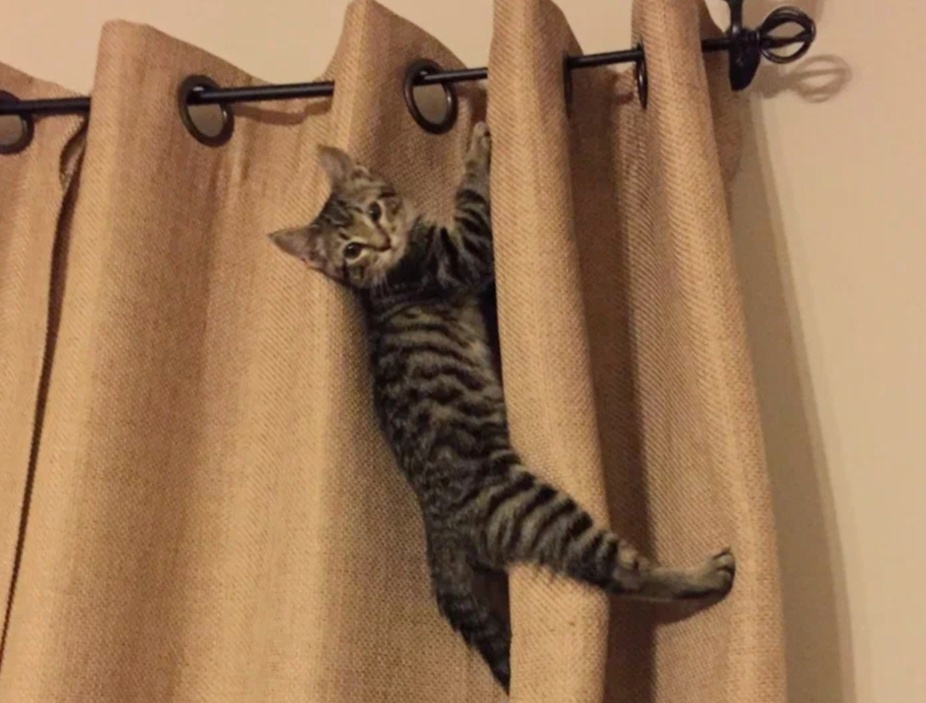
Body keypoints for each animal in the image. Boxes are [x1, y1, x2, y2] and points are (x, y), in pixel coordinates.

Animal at [269, 122, 735, 693]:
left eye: (374, 211)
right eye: (352, 250)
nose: (382, 241)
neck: (392, 270)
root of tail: (438, 527)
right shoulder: (460, 255)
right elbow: (469, 198)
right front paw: (475, 149)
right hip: (536, 507)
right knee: (619, 572)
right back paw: (703, 575)